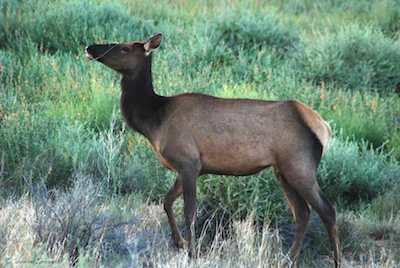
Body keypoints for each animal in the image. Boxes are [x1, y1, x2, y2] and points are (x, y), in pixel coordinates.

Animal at [85, 34, 340, 268]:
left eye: (125, 48)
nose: (90, 47)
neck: (154, 121)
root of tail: (324, 126)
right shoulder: (191, 167)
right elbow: (166, 202)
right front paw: (179, 243)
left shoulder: (188, 161)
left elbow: (189, 211)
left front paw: (192, 251)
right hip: (283, 170)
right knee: (302, 213)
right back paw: (289, 259)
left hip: (300, 165)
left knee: (327, 210)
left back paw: (334, 260)